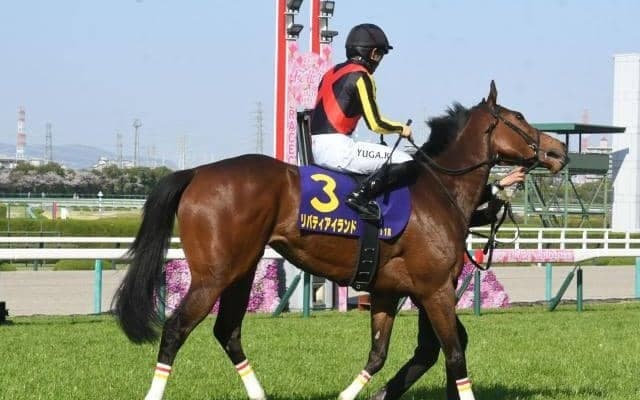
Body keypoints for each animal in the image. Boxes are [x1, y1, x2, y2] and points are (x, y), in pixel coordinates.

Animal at [114, 81, 568, 400]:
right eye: (520, 118)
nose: (559, 149)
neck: (440, 190)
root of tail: (196, 172)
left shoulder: (390, 291)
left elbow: (386, 354)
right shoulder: (436, 288)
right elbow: (453, 353)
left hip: (242, 270)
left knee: (227, 332)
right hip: (214, 274)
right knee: (176, 329)